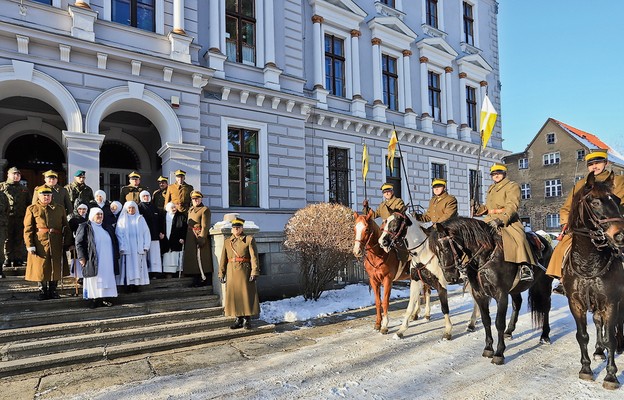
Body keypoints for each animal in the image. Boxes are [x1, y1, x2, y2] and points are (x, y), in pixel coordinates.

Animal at [426, 217, 552, 364]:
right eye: (435, 252)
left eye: (445, 248)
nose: (449, 277)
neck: (486, 257)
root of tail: (545, 241)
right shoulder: (480, 295)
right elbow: (486, 321)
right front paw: (488, 348)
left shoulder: (501, 295)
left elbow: (499, 323)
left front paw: (499, 353)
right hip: (515, 289)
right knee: (517, 304)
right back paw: (509, 331)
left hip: (544, 284)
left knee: (545, 307)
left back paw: (545, 336)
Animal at [564, 170, 624, 390]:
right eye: (595, 202)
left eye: (617, 200)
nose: (620, 235)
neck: (589, 262)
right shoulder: (576, 303)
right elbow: (583, 336)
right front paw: (586, 368)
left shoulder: (611, 302)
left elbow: (611, 338)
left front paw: (611, 376)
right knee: (599, 323)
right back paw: (599, 350)